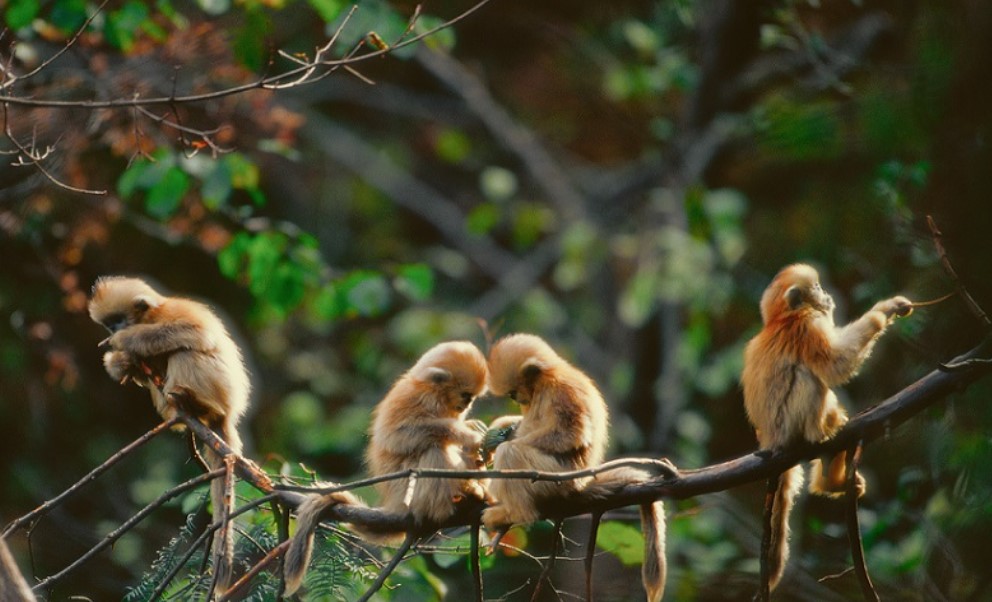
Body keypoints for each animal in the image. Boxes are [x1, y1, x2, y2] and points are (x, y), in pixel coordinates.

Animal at [88, 276, 252, 592]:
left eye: (118, 320)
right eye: (108, 323)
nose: (113, 330)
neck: (151, 316)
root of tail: (228, 413)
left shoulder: (174, 312)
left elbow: (196, 332)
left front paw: (125, 341)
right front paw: (120, 362)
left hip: (219, 386)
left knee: (184, 350)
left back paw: (198, 404)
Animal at [280, 340, 490, 592]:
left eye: (472, 398)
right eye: (466, 394)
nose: (467, 404)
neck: (433, 391)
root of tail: (398, 504)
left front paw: (473, 430)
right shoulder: (420, 397)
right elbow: (397, 437)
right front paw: (468, 434)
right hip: (412, 492)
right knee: (433, 448)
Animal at [740, 264, 912, 592]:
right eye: (817, 287)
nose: (827, 294)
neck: (781, 319)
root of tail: (771, 440)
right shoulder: (809, 325)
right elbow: (835, 364)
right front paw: (882, 312)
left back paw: (830, 479)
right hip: (792, 421)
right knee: (810, 377)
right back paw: (823, 433)